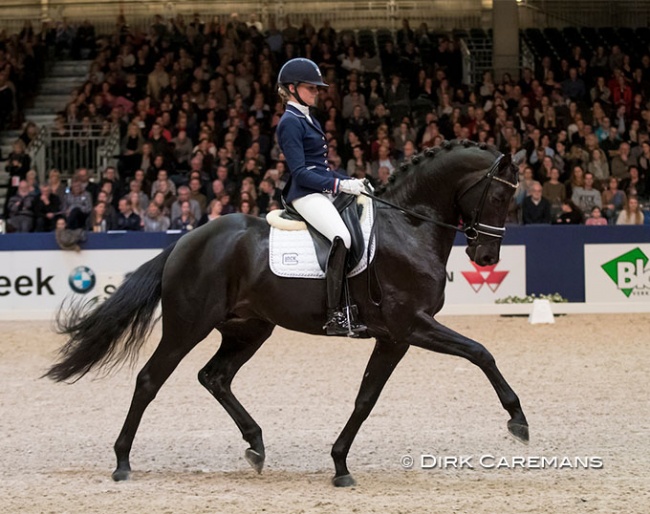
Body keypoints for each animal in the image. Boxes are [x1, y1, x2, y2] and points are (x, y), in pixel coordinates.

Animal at [45, 139, 528, 484]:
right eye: (498, 197)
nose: (486, 257)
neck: (408, 227)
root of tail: (185, 240)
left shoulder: (394, 338)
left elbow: (366, 398)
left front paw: (340, 465)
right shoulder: (411, 325)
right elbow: (480, 352)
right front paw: (518, 421)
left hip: (250, 328)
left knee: (215, 376)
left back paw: (255, 445)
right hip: (188, 326)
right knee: (150, 380)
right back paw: (122, 462)